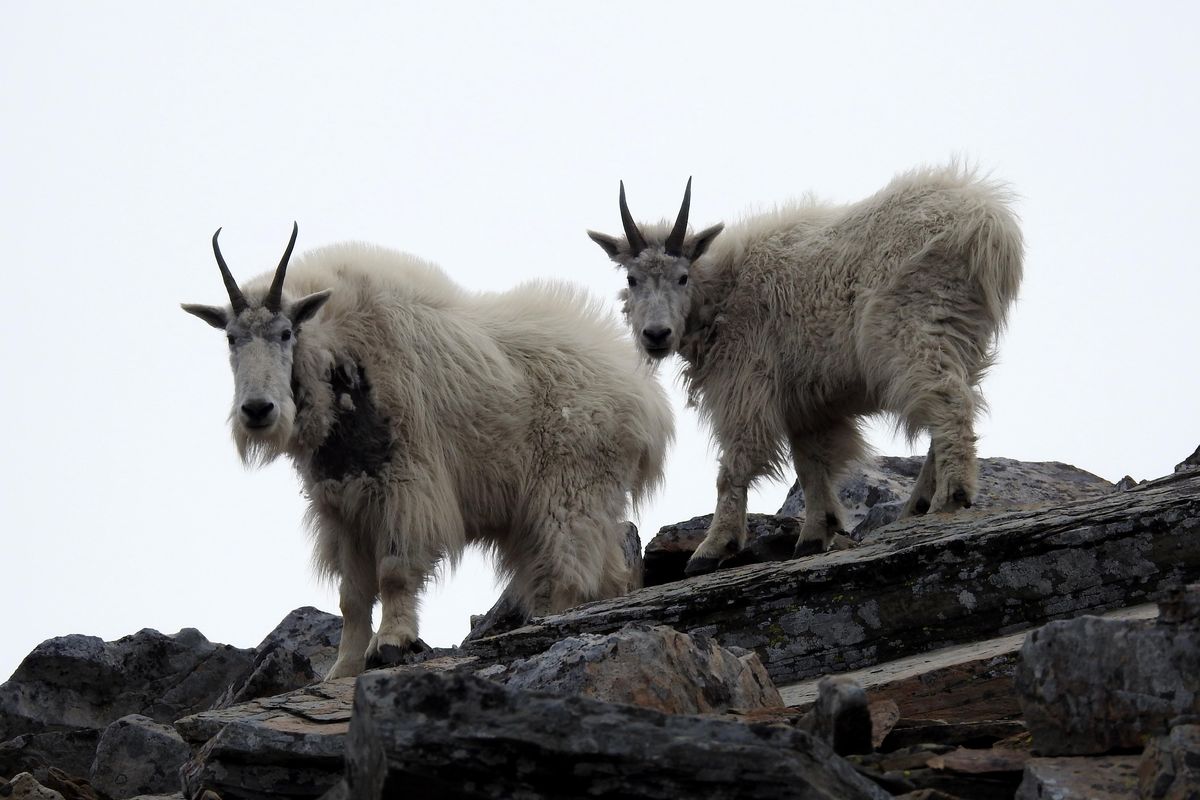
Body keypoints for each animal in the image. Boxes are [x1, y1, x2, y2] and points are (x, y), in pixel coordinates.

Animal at [182, 224, 672, 676]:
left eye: (286, 333)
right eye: (230, 337)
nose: (257, 410)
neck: (344, 361)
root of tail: (648, 404)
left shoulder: (407, 487)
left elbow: (395, 572)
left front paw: (391, 643)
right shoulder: (343, 507)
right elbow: (351, 596)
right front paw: (344, 667)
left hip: (570, 493)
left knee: (566, 573)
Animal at [590, 164, 1022, 575]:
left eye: (682, 277)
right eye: (631, 278)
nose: (656, 335)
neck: (721, 293)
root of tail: (989, 226)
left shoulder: (744, 383)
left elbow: (735, 465)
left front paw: (712, 548)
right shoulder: (805, 404)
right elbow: (810, 464)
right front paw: (815, 534)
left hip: (914, 328)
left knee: (947, 403)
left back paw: (950, 497)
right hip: (963, 336)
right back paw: (916, 505)